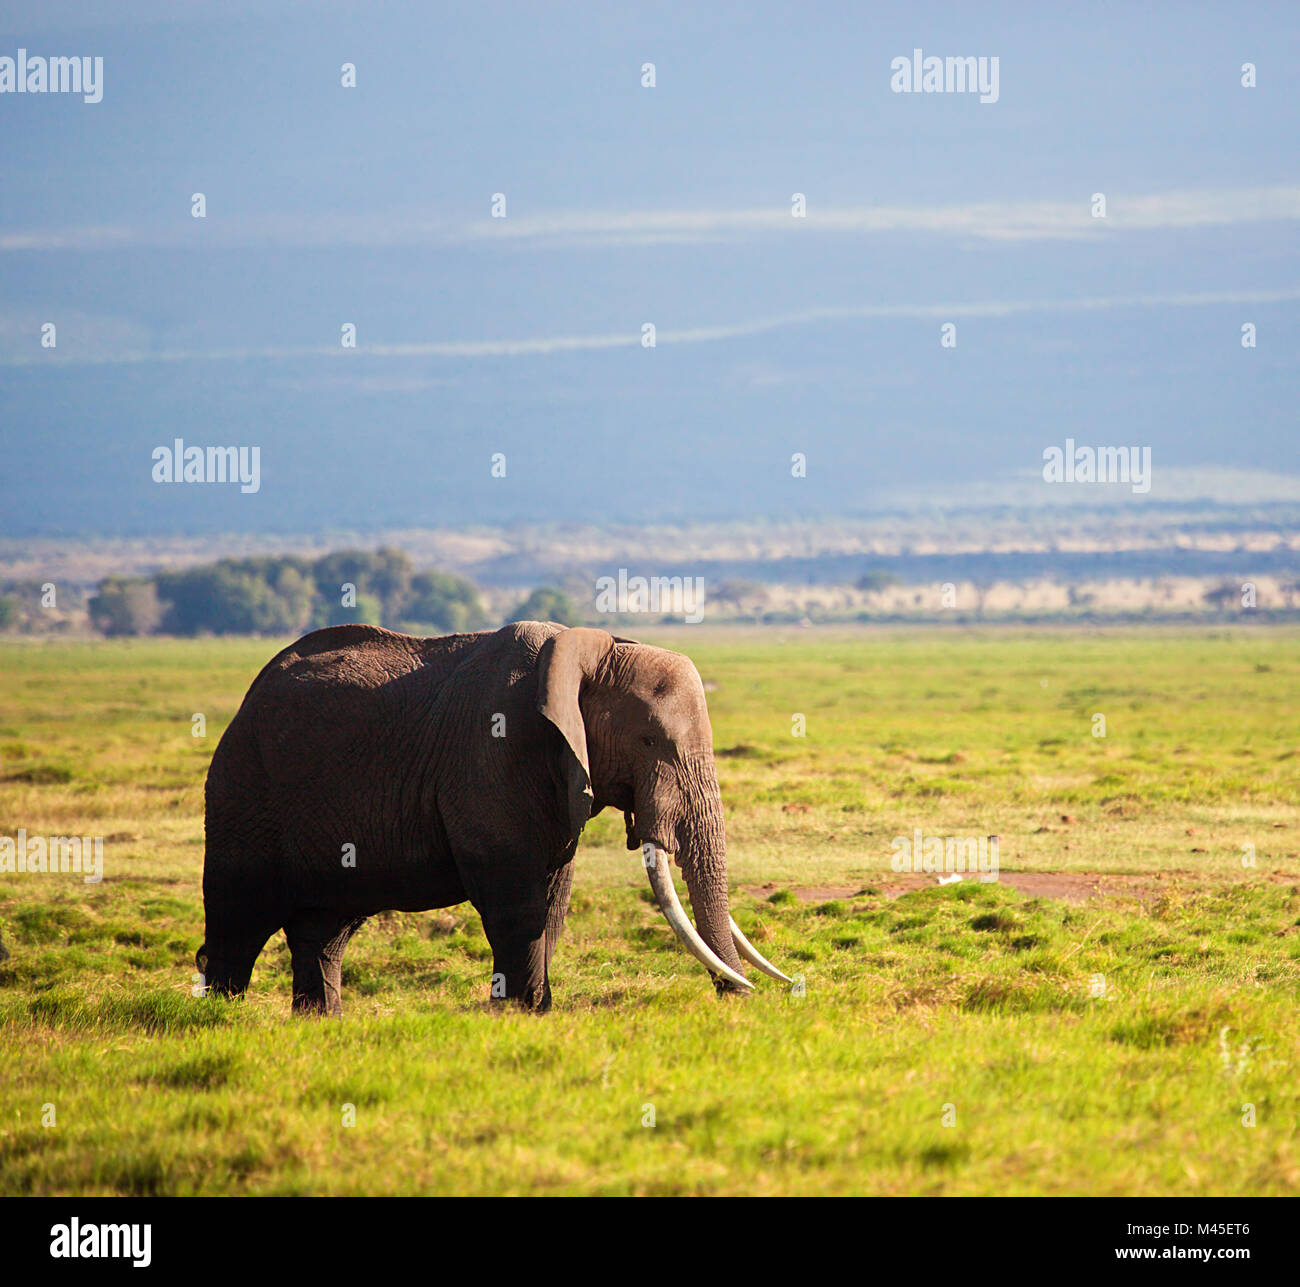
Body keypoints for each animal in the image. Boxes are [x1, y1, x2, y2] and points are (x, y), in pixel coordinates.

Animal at [192, 624, 780, 1019]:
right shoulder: (492, 752)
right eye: (650, 741)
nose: (738, 998)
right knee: (237, 921)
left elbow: (553, 899)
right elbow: (515, 899)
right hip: (241, 793)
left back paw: (321, 1023)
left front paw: (534, 1013)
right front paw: (520, 1013)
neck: (588, 653)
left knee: (324, 930)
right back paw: (222, 1019)